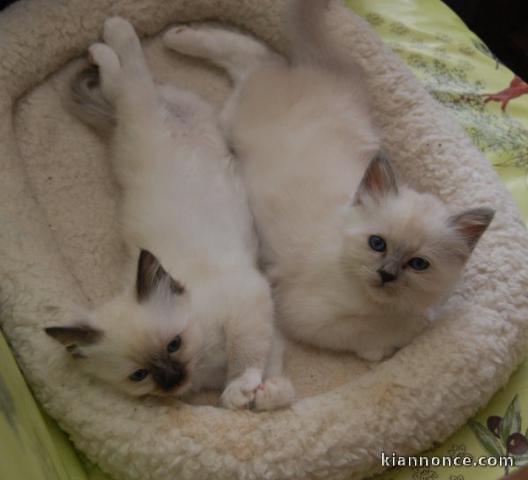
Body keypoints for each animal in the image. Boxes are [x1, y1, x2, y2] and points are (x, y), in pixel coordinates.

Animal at [44, 16, 292, 410]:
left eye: (174, 344)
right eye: (140, 376)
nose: (172, 379)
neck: (205, 360)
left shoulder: (250, 300)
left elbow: (251, 356)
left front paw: (246, 389)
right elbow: (267, 364)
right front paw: (259, 394)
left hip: (141, 110)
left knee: (133, 76)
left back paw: (115, 34)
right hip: (150, 116)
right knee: (123, 81)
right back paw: (107, 48)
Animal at [164, 0, 496, 360]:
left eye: (418, 264)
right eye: (377, 244)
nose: (386, 274)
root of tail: (325, 69)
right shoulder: (303, 314)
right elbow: (375, 333)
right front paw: (393, 341)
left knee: (257, 56)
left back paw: (179, 35)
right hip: (234, 119)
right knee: (253, 57)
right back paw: (176, 37)